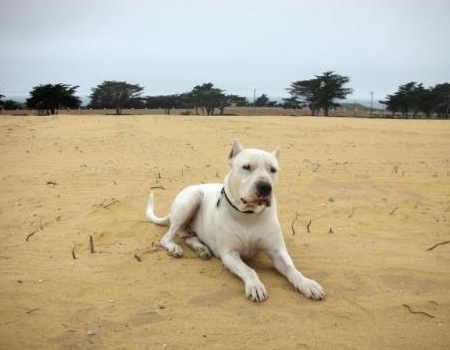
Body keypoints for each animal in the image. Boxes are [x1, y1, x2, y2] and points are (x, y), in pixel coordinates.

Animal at [146, 141, 326, 302]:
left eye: (273, 170)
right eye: (246, 167)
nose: (265, 187)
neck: (248, 215)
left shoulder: (277, 251)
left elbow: (292, 269)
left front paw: (307, 284)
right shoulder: (230, 254)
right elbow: (249, 270)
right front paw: (255, 286)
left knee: (187, 235)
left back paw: (201, 248)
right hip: (191, 199)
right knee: (168, 237)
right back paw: (175, 247)